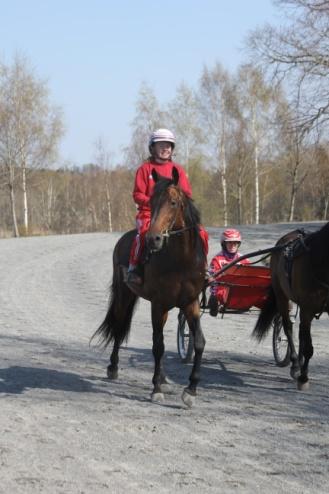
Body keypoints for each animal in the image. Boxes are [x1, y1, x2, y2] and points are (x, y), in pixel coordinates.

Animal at [92, 168, 205, 408]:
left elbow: (199, 342)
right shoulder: (158, 304)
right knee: (119, 327)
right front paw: (156, 389)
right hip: (125, 295)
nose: (154, 238)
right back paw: (114, 367)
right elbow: (158, 346)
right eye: (152, 203)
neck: (181, 261)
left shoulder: (191, 303)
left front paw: (190, 390)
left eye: (173, 202)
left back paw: (163, 378)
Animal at [252, 223, 326, 390]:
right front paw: (303, 378)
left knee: (300, 333)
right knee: (288, 327)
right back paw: (295, 365)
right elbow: (308, 348)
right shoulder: (307, 308)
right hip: (281, 295)